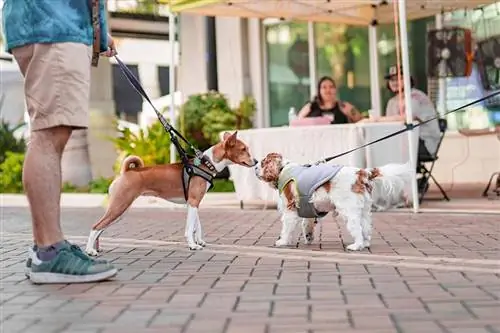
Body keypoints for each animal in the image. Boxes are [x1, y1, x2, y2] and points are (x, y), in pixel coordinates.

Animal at [85, 131, 256, 253]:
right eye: (244, 149)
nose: (256, 161)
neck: (206, 164)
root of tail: (126, 172)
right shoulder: (193, 201)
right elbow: (190, 228)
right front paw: (193, 245)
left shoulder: (194, 202)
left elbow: (197, 226)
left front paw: (199, 242)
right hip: (119, 206)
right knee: (95, 226)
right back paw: (89, 251)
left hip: (120, 209)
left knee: (101, 228)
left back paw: (96, 248)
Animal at [256, 154, 412, 252]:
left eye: (263, 162)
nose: (255, 166)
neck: (283, 169)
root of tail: (362, 173)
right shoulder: (307, 208)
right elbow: (307, 225)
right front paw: (308, 238)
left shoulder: (290, 208)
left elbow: (286, 228)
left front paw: (282, 242)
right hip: (364, 210)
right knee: (366, 228)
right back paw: (365, 244)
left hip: (349, 210)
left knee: (357, 229)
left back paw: (356, 246)